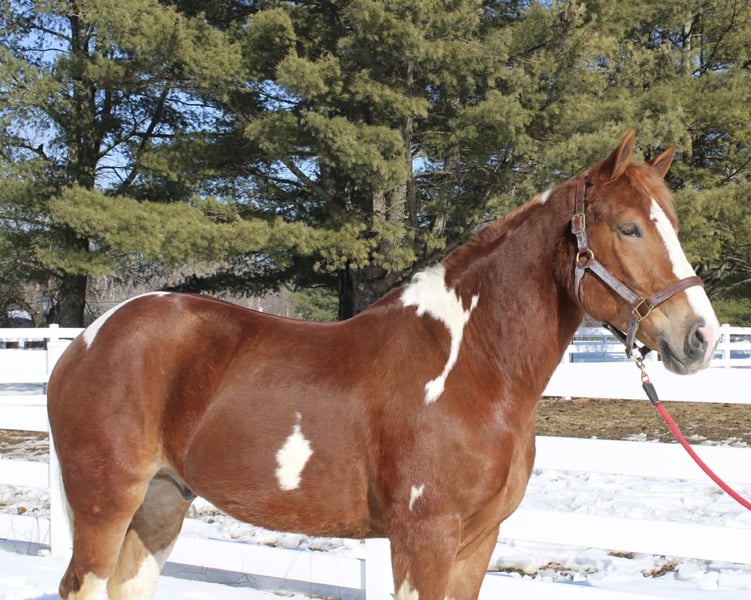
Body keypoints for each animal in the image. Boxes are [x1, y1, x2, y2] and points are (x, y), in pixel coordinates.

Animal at [47, 130, 720, 599]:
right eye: (628, 228)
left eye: (672, 224)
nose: (701, 336)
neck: (470, 369)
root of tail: (86, 341)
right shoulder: (424, 537)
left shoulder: (477, 541)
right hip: (107, 504)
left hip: (161, 502)